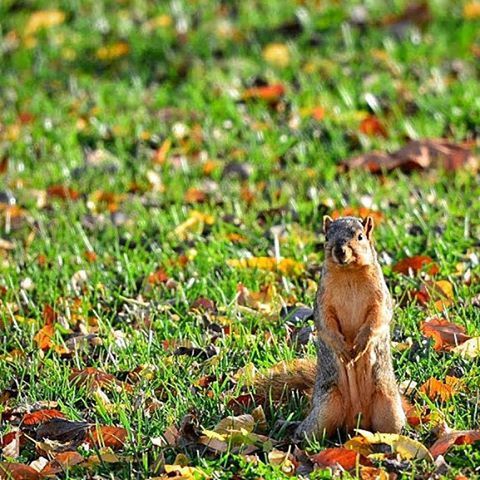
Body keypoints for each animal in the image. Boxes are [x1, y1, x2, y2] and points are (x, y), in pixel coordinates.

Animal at [255, 216, 404, 440]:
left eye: (360, 236)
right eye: (326, 237)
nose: (340, 250)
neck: (349, 273)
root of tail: (357, 421)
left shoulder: (381, 298)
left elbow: (378, 318)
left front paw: (361, 343)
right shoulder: (323, 301)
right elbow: (325, 323)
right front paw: (342, 348)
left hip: (389, 408)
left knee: (392, 429)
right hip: (326, 407)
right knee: (311, 430)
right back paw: (294, 433)